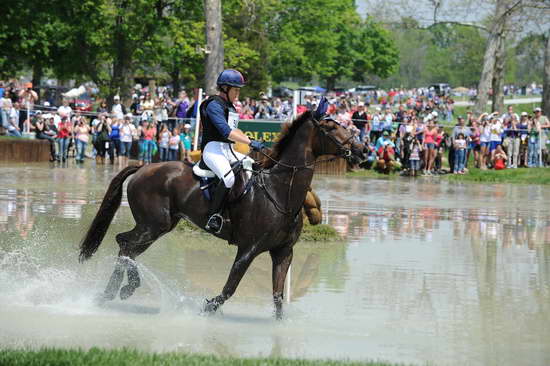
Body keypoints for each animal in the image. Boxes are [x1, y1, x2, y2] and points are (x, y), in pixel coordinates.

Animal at [78, 108, 366, 318]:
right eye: (331, 128)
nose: (362, 150)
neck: (280, 189)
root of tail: (143, 167)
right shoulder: (248, 250)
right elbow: (229, 288)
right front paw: (207, 308)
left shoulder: (283, 252)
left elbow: (277, 298)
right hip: (152, 225)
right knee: (124, 243)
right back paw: (125, 289)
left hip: (159, 227)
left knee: (128, 249)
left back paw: (109, 294)